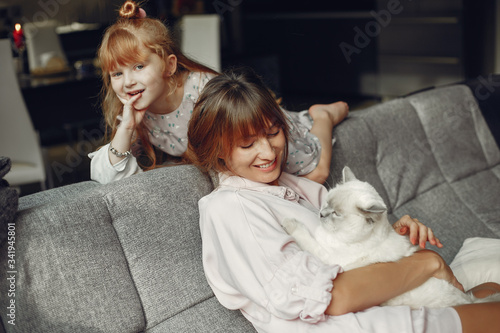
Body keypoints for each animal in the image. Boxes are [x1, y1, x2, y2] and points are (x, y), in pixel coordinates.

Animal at [284, 166, 498, 308]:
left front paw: (288, 222)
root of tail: (468, 301)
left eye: (336, 213)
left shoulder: (328, 259)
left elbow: (305, 236)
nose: (321, 214)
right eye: (326, 203)